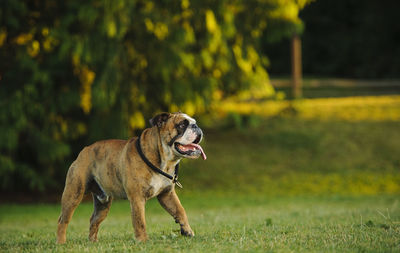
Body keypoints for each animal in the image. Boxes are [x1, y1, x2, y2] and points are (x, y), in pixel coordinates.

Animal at [56, 112, 206, 243]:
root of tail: (84, 150)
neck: (164, 160)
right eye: (182, 125)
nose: (196, 126)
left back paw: (93, 242)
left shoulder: (167, 195)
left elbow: (180, 210)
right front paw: (143, 240)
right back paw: (61, 242)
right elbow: (140, 221)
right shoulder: (137, 198)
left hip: (102, 204)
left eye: (193, 122)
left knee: (94, 220)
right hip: (73, 194)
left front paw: (187, 230)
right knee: (63, 220)